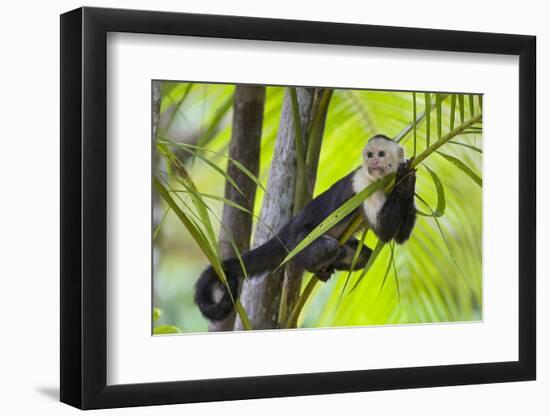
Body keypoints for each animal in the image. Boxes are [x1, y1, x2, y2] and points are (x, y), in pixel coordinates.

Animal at [196, 135, 416, 320]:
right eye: (369, 155)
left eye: (381, 154)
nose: (373, 162)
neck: (382, 180)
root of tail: (288, 228)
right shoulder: (364, 183)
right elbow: (384, 231)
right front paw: (406, 179)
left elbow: (399, 236)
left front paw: (408, 180)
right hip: (298, 241)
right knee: (328, 248)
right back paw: (315, 266)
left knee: (362, 256)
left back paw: (328, 267)